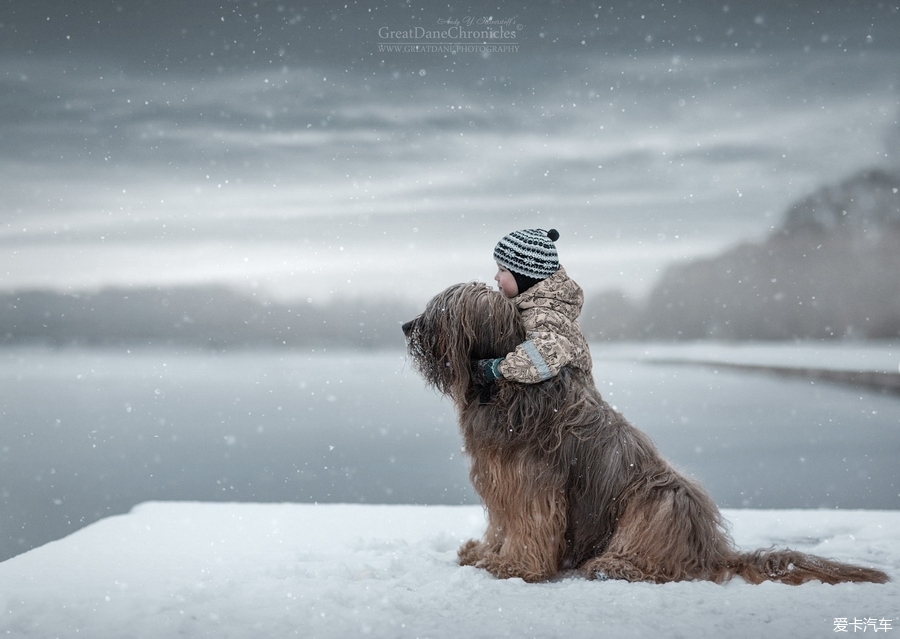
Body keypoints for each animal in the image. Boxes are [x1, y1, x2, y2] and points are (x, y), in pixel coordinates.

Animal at [402, 284, 892, 584]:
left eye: (441, 311)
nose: (407, 326)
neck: (503, 386)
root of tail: (713, 550)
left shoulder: (530, 482)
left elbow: (529, 525)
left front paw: (514, 567)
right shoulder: (500, 478)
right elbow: (502, 523)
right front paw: (484, 554)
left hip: (659, 498)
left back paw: (613, 564)